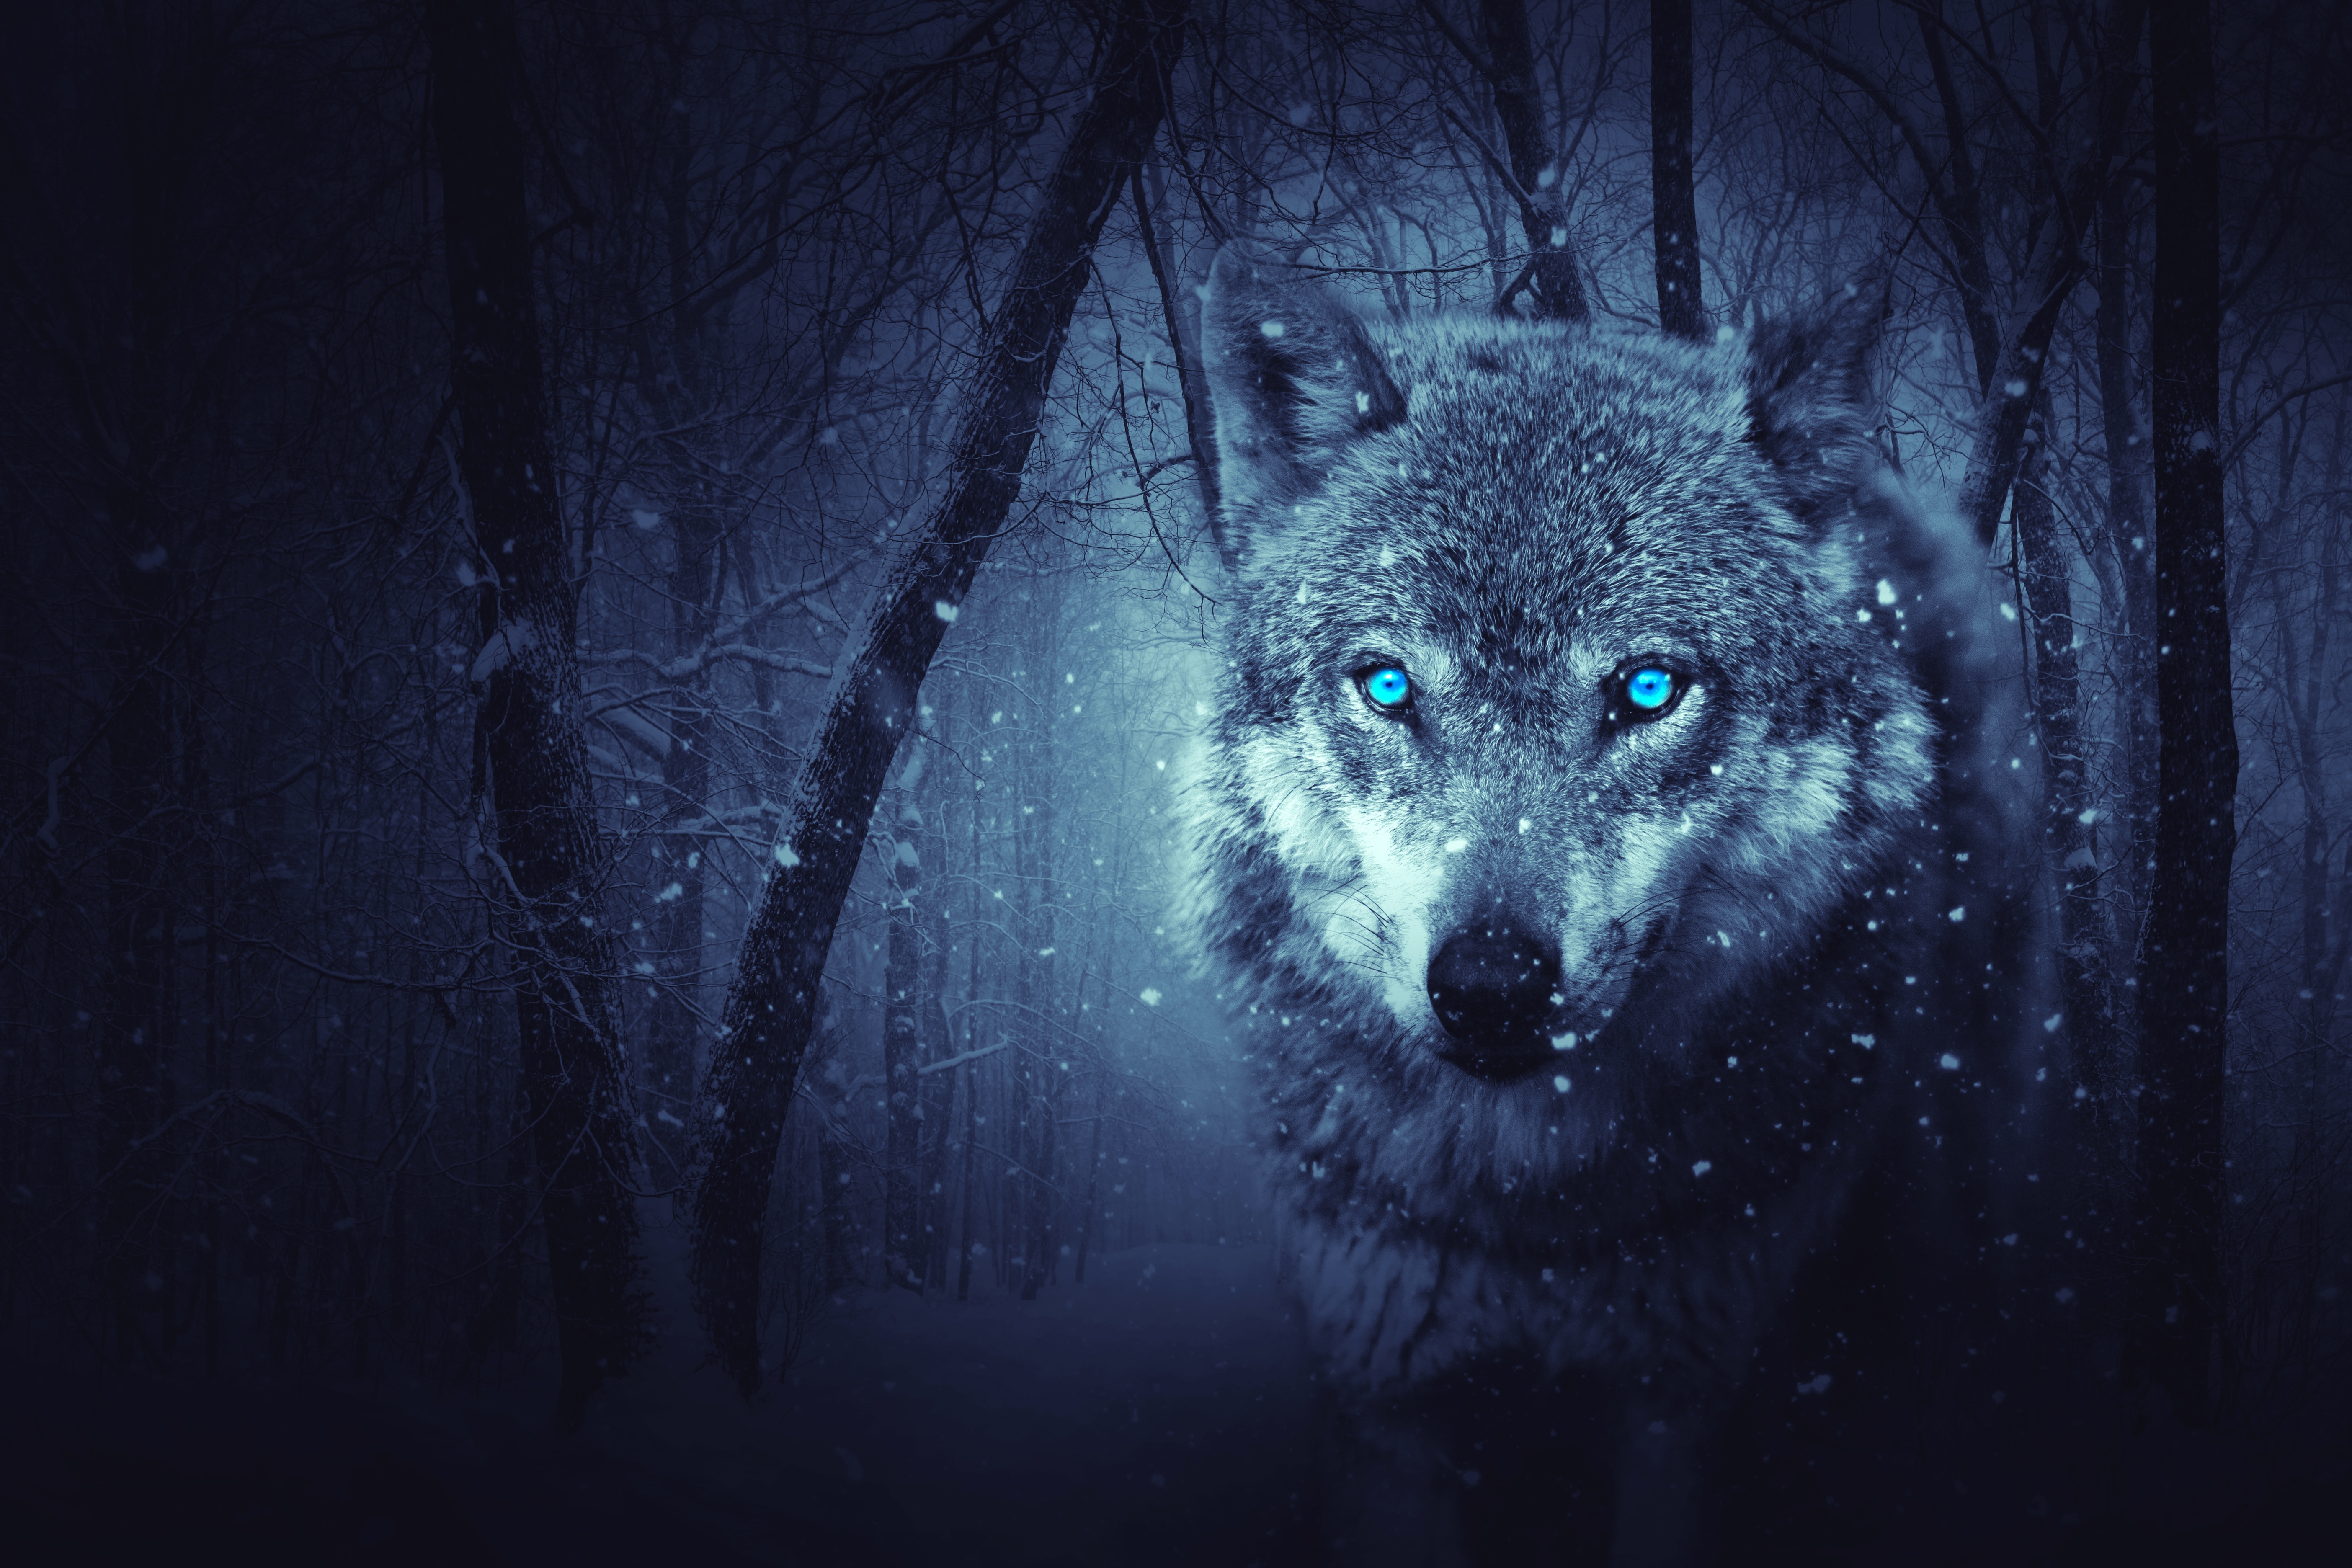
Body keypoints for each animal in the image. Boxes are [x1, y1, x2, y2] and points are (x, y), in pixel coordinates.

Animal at [1179, 248, 2036, 1565]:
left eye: (1645, 689)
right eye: (1389, 686)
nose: (1489, 986)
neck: (1532, 1218)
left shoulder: (1685, 1403)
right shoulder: (1388, 1403)